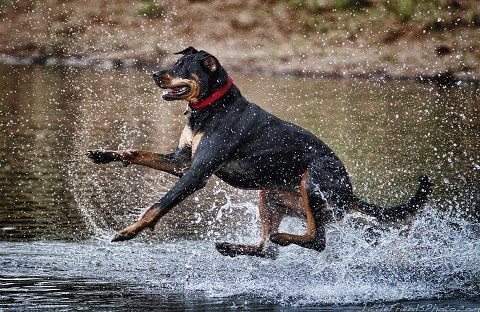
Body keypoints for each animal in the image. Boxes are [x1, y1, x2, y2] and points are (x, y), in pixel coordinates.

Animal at [87, 47, 436, 258]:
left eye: (181, 66)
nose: (155, 75)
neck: (211, 107)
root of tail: (350, 193)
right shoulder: (180, 161)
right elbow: (135, 153)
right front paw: (103, 154)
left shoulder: (197, 172)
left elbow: (156, 206)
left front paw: (129, 232)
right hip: (270, 195)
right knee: (268, 248)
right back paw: (234, 246)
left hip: (314, 181)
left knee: (316, 240)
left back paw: (282, 237)